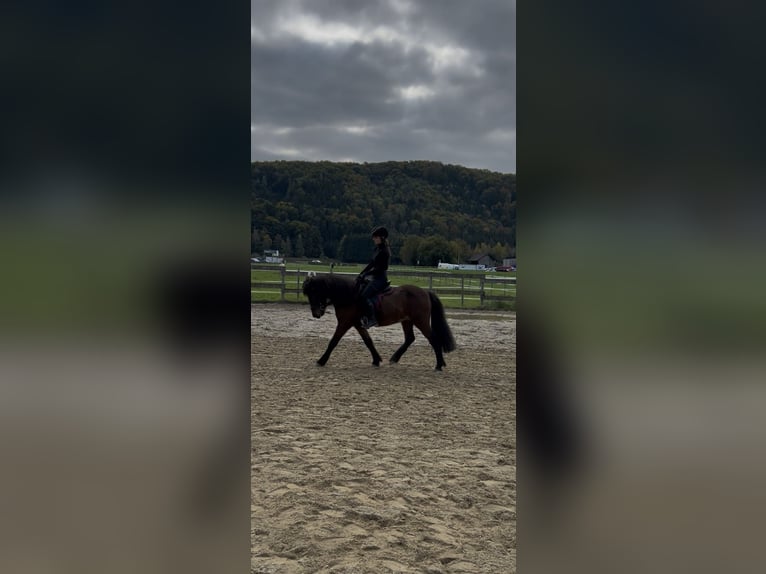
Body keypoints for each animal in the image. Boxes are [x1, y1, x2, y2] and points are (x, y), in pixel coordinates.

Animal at [301, 273, 456, 371]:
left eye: (315, 291)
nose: (315, 313)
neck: (349, 295)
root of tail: (425, 292)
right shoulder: (358, 324)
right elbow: (368, 341)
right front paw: (376, 360)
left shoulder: (345, 323)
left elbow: (333, 341)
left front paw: (321, 360)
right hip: (407, 321)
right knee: (410, 338)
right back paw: (395, 358)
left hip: (421, 321)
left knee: (433, 339)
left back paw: (438, 365)